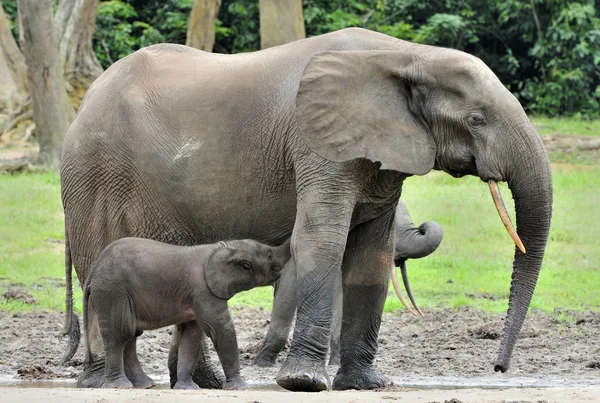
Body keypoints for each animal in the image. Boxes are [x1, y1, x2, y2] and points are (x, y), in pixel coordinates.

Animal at [84, 238, 290, 390]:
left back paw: (144, 385)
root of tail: (94, 269)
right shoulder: (204, 291)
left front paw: (188, 389)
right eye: (269, 255)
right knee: (121, 334)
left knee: (131, 335)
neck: (223, 246)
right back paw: (120, 386)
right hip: (112, 290)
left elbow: (191, 336)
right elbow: (220, 330)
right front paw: (241, 388)